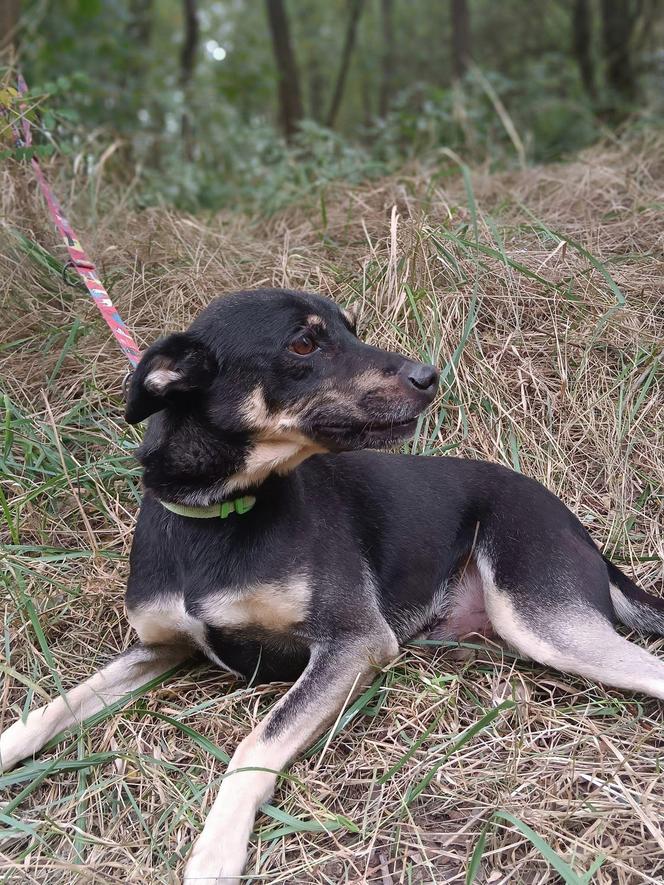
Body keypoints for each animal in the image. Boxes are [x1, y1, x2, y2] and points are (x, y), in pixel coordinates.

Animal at [1, 286, 664, 880]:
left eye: (351, 329)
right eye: (304, 342)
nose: (430, 375)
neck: (218, 515)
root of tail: (577, 527)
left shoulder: (353, 642)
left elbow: (255, 744)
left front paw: (215, 853)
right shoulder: (159, 647)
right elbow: (51, 710)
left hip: (542, 618)